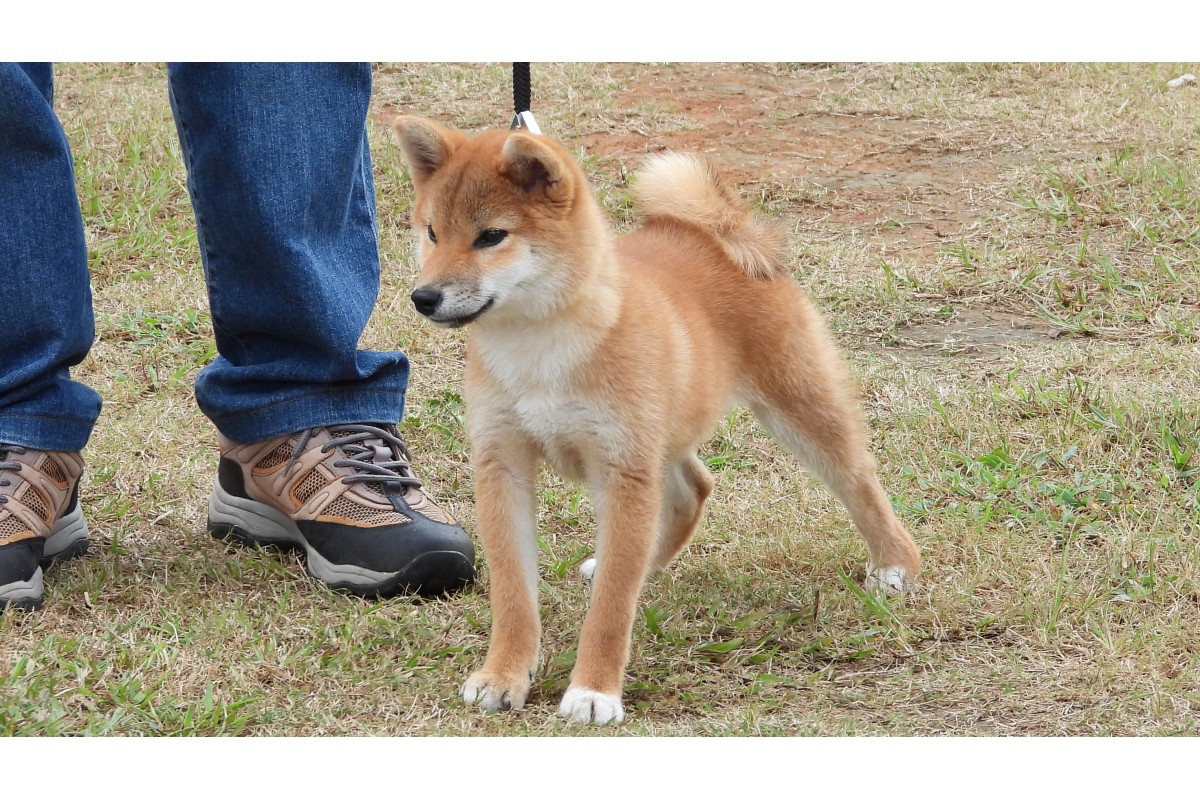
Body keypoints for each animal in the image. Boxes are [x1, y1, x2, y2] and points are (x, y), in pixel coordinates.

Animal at [391, 117, 916, 724]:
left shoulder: (623, 473)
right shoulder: (504, 465)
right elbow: (514, 594)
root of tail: (709, 231)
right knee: (694, 488)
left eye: (491, 237)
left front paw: (594, 691)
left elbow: (612, 606)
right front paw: (503, 676)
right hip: (661, 434)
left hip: (796, 407)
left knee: (860, 482)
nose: (424, 297)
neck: (540, 348)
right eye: (432, 232)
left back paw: (896, 566)